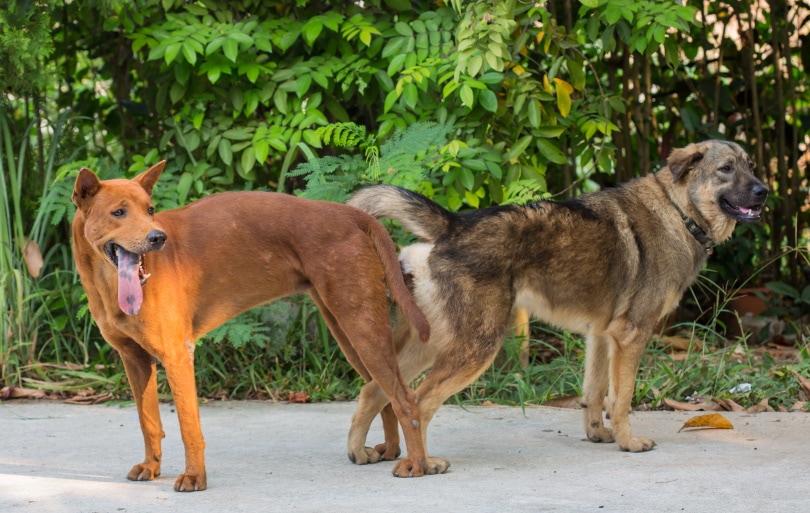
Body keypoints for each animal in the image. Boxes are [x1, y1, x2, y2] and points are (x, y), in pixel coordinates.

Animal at [71, 162, 436, 490]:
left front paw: (195, 478)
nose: (157, 237)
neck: (108, 283)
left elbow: (189, 428)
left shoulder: (178, 355)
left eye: (150, 210)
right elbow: (148, 423)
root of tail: (349, 214)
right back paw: (393, 450)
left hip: (360, 326)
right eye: (119, 212)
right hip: (349, 331)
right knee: (381, 391)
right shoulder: (135, 360)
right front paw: (151, 468)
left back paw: (417, 464)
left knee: (405, 397)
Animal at [344, 140, 768, 472]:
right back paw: (425, 464)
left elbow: (595, 394)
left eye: (751, 165)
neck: (678, 211)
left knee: (376, 390)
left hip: (434, 343)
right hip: (475, 347)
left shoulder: (602, 337)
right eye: (726, 169)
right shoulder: (631, 335)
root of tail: (454, 224)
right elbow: (622, 399)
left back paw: (359, 452)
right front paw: (629, 443)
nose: (764, 191)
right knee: (418, 401)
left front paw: (600, 435)